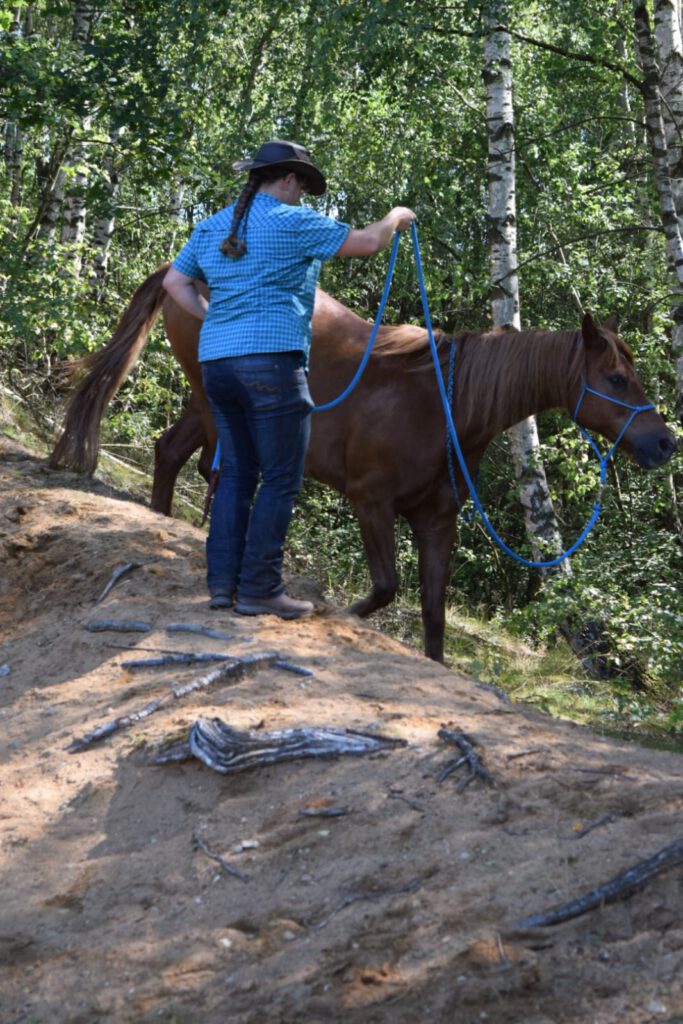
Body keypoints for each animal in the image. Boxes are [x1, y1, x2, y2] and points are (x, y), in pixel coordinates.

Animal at [50, 268, 675, 659]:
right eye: (616, 379)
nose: (666, 442)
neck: (442, 405)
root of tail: (189, 271)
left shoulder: (436, 521)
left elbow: (432, 611)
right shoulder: (371, 502)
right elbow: (384, 589)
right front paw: (339, 615)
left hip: (206, 408)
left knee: (175, 454)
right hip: (213, 406)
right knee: (207, 469)